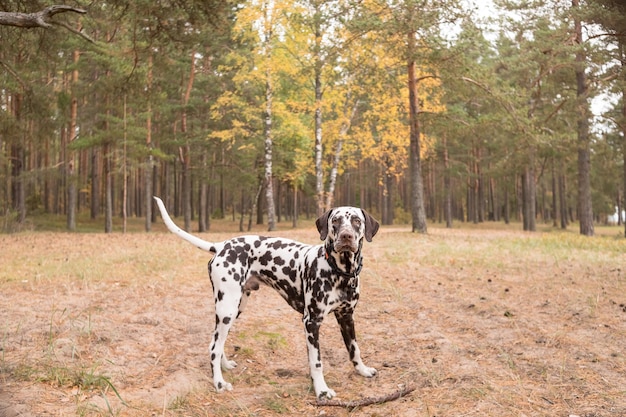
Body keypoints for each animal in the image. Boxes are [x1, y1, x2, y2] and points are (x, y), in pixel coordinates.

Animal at [154, 197, 378, 398]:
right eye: (336, 221)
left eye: (357, 221)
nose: (347, 236)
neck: (340, 272)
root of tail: (221, 246)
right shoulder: (311, 322)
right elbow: (317, 362)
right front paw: (321, 390)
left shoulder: (346, 317)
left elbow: (354, 349)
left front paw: (362, 370)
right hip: (227, 308)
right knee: (213, 347)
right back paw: (218, 383)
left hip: (234, 309)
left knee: (218, 340)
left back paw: (225, 366)